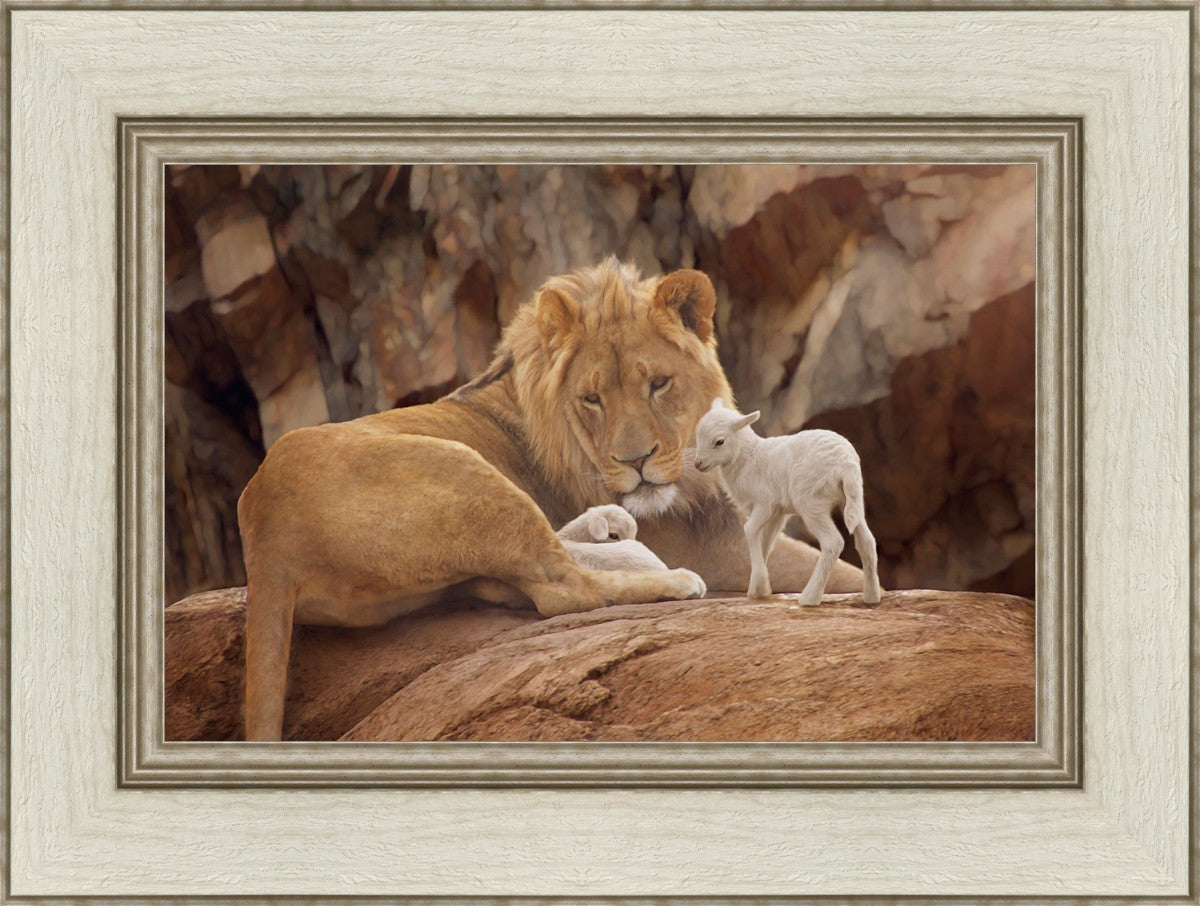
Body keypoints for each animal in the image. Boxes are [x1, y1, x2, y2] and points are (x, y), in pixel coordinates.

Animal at [692, 398, 880, 606]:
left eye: (719, 442)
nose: (698, 464)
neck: (748, 457)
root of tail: (845, 463)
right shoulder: (778, 513)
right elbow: (766, 542)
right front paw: (758, 589)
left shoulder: (765, 504)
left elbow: (749, 530)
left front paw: (760, 585)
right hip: (852, 499)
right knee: (867, 541)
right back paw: (871, 596)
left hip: (811, 501)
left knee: (833, 542)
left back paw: (809, 597)